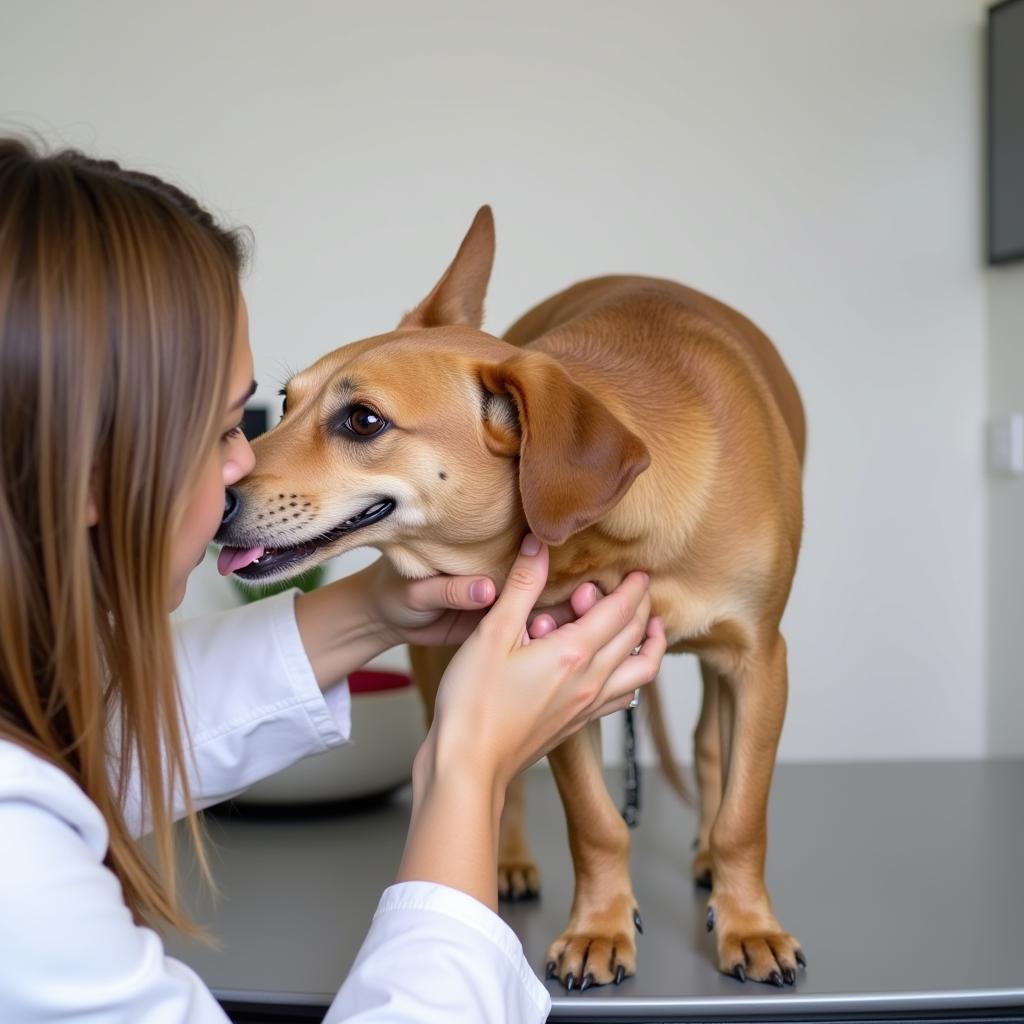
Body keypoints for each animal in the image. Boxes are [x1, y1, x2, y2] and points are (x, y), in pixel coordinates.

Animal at [218, 205, 806, 983]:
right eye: (286, 402)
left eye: (364, 421)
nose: (216, 496)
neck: (619, 537)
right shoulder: (562, 668)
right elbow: (594, 822)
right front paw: (598, 927)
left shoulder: (760, 661)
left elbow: (744, 816)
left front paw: (750, 925)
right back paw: (504, 860)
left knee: (712, 744)